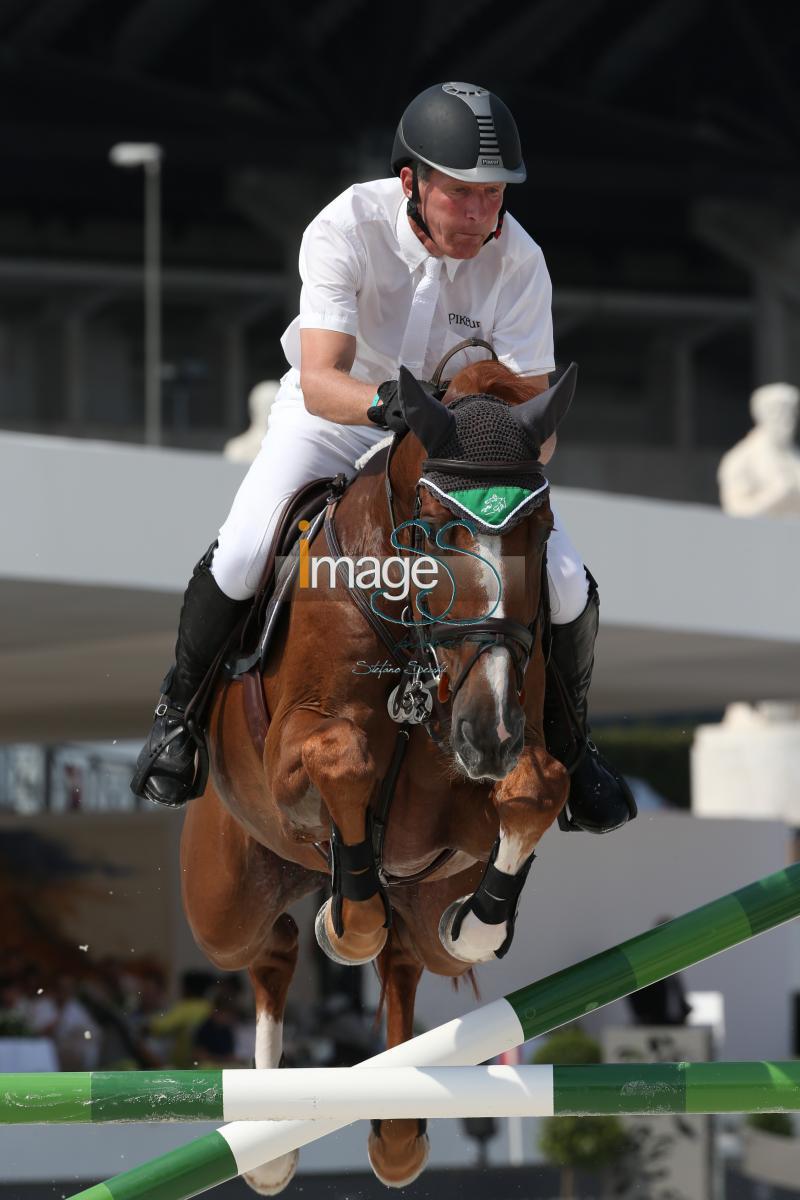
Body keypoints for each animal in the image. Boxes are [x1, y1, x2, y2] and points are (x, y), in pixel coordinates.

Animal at [181, 357, 575, 1190]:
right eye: (431, 529)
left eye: (542, 527)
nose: (488, 731)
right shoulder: (292, 760)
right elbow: (345, 759)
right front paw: (346, 923)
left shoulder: (477, 794)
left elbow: (538, 788)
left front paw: (481, 920)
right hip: (223, 896)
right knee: (270, 947)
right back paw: (271, 1140)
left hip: (417, 898)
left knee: (407, 956)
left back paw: (394, 1133)